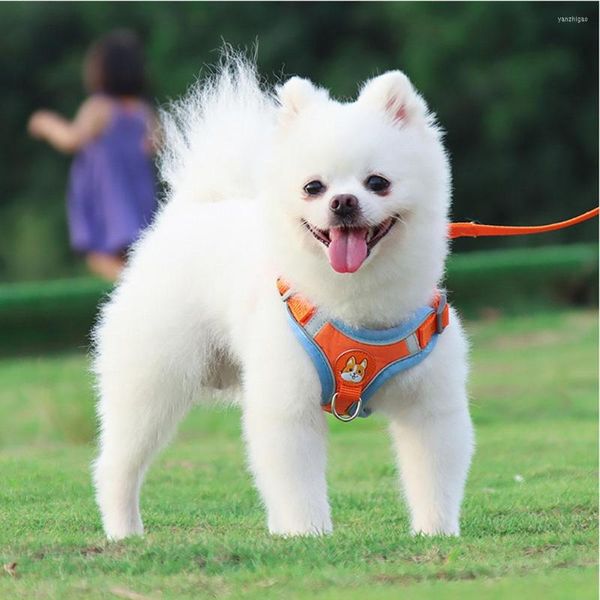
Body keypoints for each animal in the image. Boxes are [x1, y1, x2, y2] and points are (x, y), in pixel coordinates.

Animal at [92, 56, 474, 540]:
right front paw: (307, 534)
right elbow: (297, 482)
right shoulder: (288, 404)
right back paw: (123, 530)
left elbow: (434, 476)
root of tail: (196, 209)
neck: (356, 304)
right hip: (152, 382)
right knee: (118, 464)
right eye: (313, 187)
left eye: (377, 182)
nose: (343, 201)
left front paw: (435, 532)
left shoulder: (431, 406)